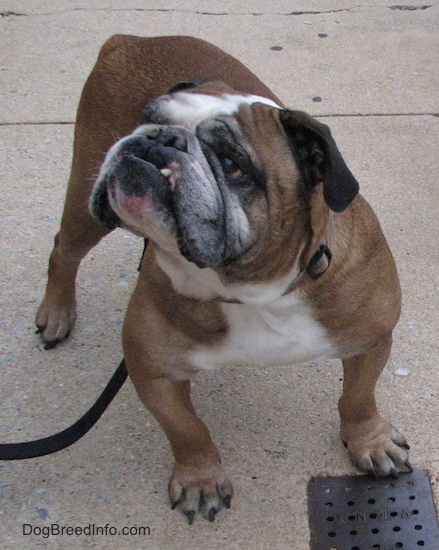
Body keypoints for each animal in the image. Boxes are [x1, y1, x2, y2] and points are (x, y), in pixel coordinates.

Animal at [36, 34, 410, 528]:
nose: (158, 139)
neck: (254, 290)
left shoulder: (371, 340)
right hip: (86, 196)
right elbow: (188, 429)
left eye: (232, 163)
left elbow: (359, 398)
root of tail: (128, 40)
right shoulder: (152, 368)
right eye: (147, 119)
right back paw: (56, 313)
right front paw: (200, 479)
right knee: (64, 248)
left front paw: (370, 440)